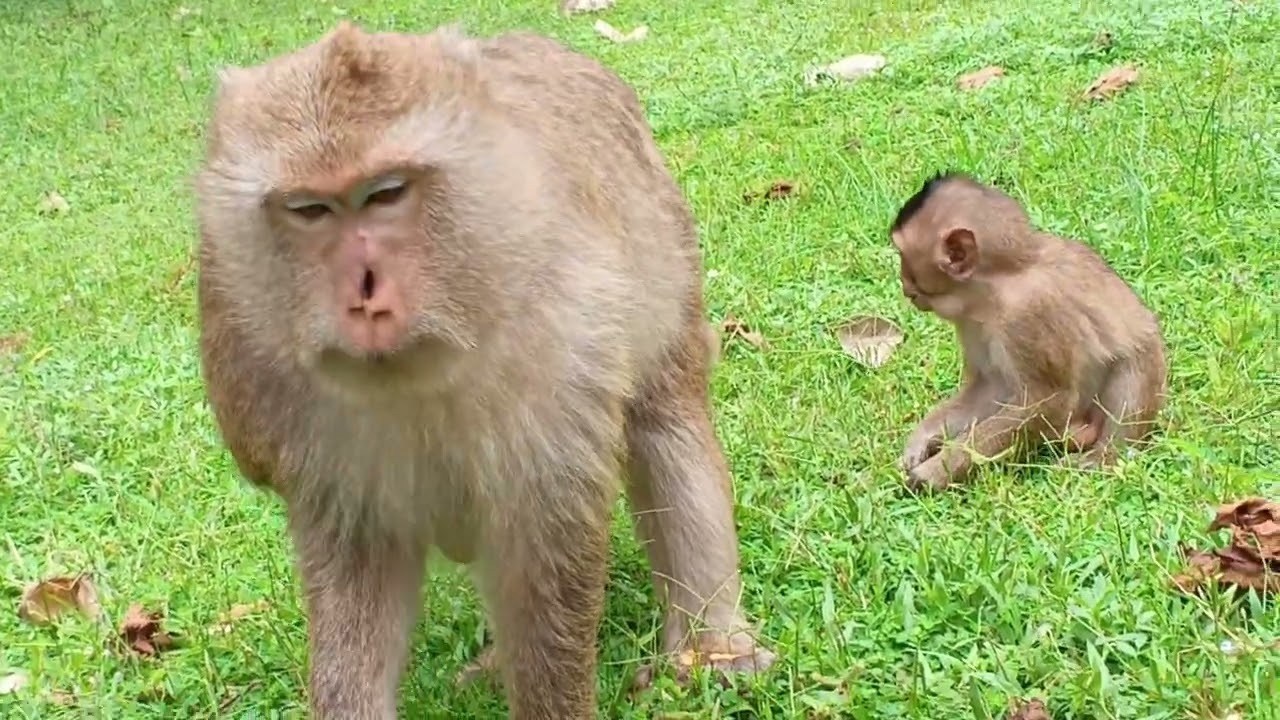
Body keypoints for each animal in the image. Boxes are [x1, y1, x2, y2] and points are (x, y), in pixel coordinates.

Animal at [193, 22, 775, 720]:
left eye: (386, 194)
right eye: (310, 210)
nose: (364, 295)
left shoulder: (564, 339)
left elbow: (545, 550)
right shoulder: (253, 374)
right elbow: (358, 558)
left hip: (663, 242)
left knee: (665, 421)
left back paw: (714, 648)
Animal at [889, 171, 1168, 492]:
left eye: (903, 257)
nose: (904, 285)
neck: (997, 283)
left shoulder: (1027, 315)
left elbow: (1049, 400)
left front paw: (936, 471)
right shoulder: (971, 322)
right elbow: (992, 388)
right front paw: (923, 440)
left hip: (1150, 364)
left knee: (1129, 374)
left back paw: (1105, 455)